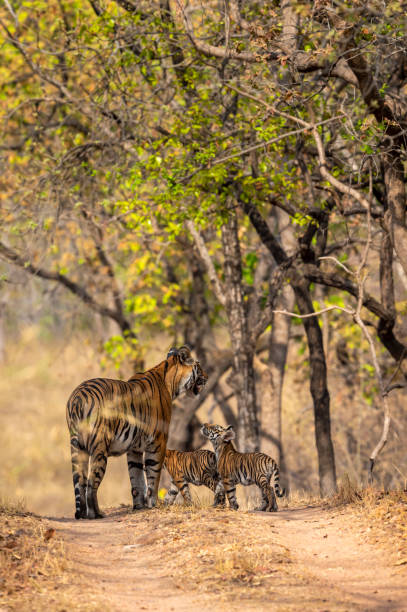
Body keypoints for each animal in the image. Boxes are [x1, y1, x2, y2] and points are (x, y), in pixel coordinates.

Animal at [67, 346, 207, 520]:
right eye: (199, 366)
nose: (207, 377)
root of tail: (77, 398)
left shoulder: (135, 448)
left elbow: (137, 478)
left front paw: (139, 506)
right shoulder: (158, 441)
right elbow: (153, 475)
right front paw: (153, 504)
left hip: (78, 448)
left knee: (80, 480)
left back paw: (83, 514)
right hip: (99, 446)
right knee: (92, 482)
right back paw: (96, 513)